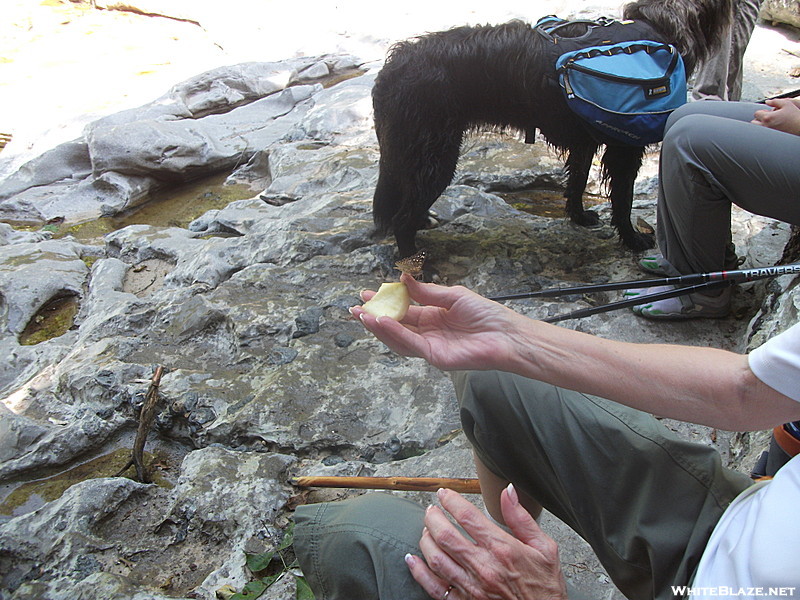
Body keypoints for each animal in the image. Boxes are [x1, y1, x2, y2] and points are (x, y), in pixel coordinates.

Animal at [374, 0, 732, 255]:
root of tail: (393, 65)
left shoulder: (585, 140)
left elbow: (577, 181)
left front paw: (580, 217)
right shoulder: (625, 148)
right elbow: (623, 199)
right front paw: (632, 240)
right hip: (435, 154)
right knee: (402, 218)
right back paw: (415, 262)